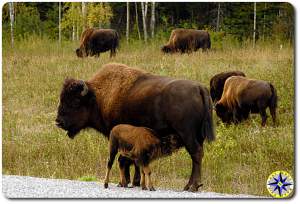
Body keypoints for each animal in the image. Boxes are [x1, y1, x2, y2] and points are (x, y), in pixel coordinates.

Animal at [55, 63, 216, 192]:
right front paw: (136, 182)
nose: (58, 122)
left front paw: (125, 182)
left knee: (196, 154)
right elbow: (135, 161)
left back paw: (192, 187)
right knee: (198, 155)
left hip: (187, 134)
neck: (98, 97)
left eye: (75, 102)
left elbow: (127, 161)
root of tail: (200, 88)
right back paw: (190, 186)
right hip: (198, 136)